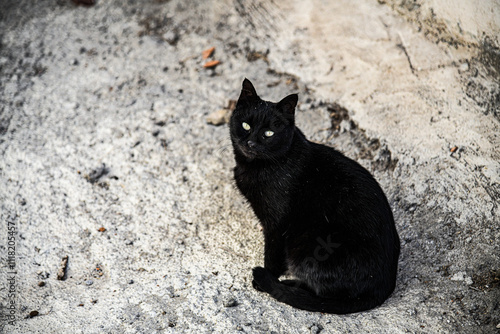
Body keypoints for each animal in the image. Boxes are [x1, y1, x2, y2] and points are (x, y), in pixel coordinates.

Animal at [229, 78, 400, 314]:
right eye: (246, 125)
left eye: (268, 133)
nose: (251, 143)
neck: (256, 167)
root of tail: (384, 287)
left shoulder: (276, 223)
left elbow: (271, 252)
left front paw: (268, 275)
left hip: (306, 248)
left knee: (322, 295)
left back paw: (283, 285)